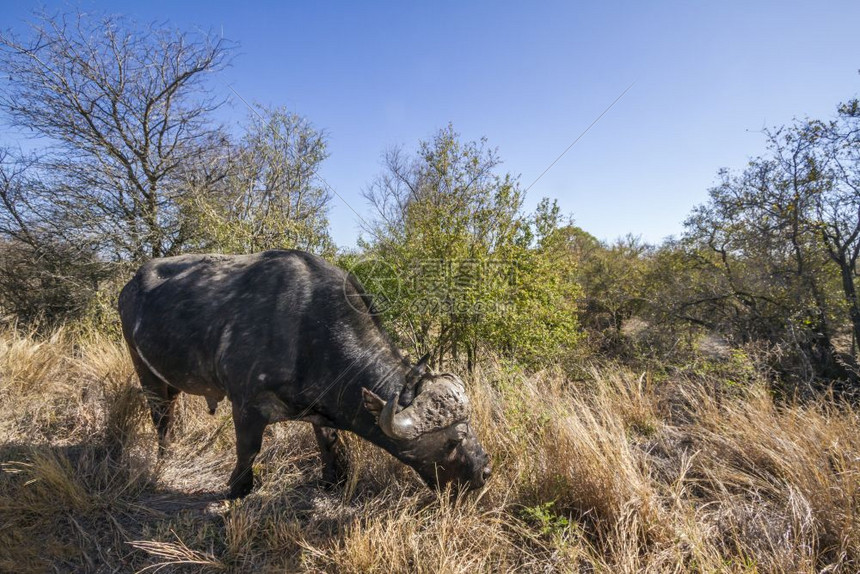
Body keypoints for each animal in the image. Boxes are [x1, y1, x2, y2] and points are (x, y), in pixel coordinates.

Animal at [116, 252, 490, 500]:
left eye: (469, 426)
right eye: (453, 440)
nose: (484, 471)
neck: (306, 329)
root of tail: (129, 286)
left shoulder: (321, 412)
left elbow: (330, 445)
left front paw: (334, 481)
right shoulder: (246, 405)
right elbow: (248, 449)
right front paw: (238, 489)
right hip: (144, 372)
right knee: (160, 418)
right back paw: (164, 458)